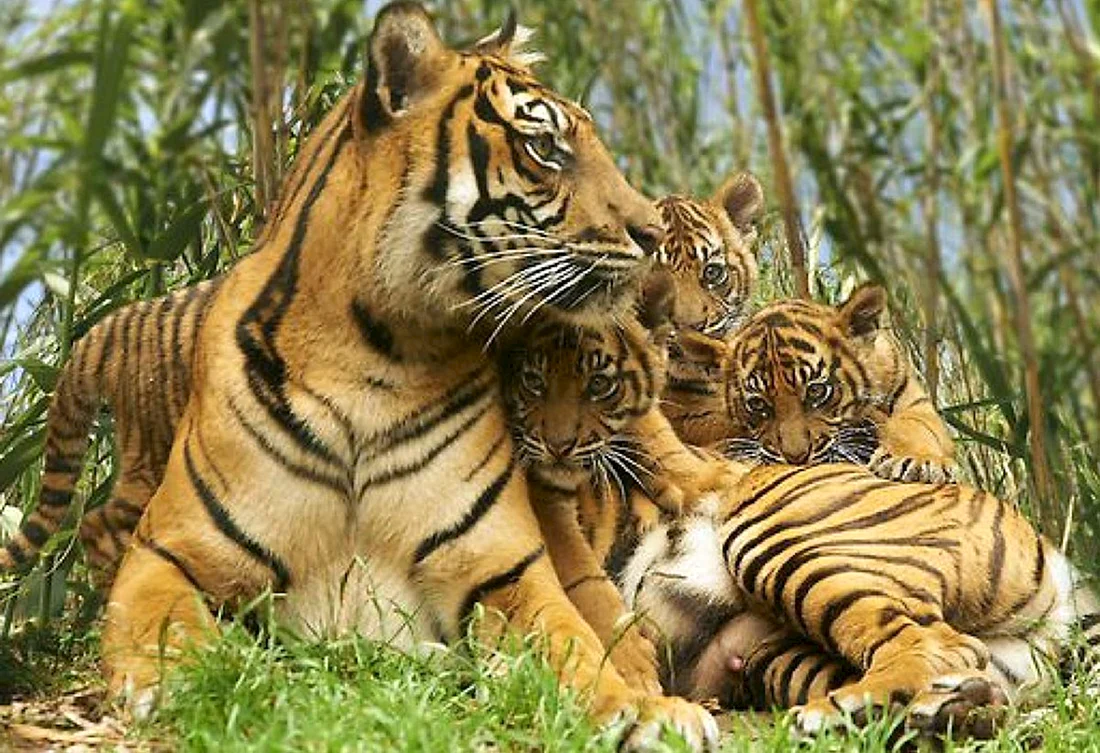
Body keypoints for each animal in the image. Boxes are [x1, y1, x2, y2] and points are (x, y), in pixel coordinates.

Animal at [82, 4, 717, 748]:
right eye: (544, 148)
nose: (653, 233)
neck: (376, 354)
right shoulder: (168, 549)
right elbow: (166, 627)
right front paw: (184, 683)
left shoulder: (502, 566)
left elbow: (573, 644)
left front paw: (645, 711)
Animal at [676, 283, 958, 484]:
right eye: (757, 405)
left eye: (816, 391)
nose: (796, 459)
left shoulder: (913, 401)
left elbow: (916, 426)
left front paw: (916, 461)